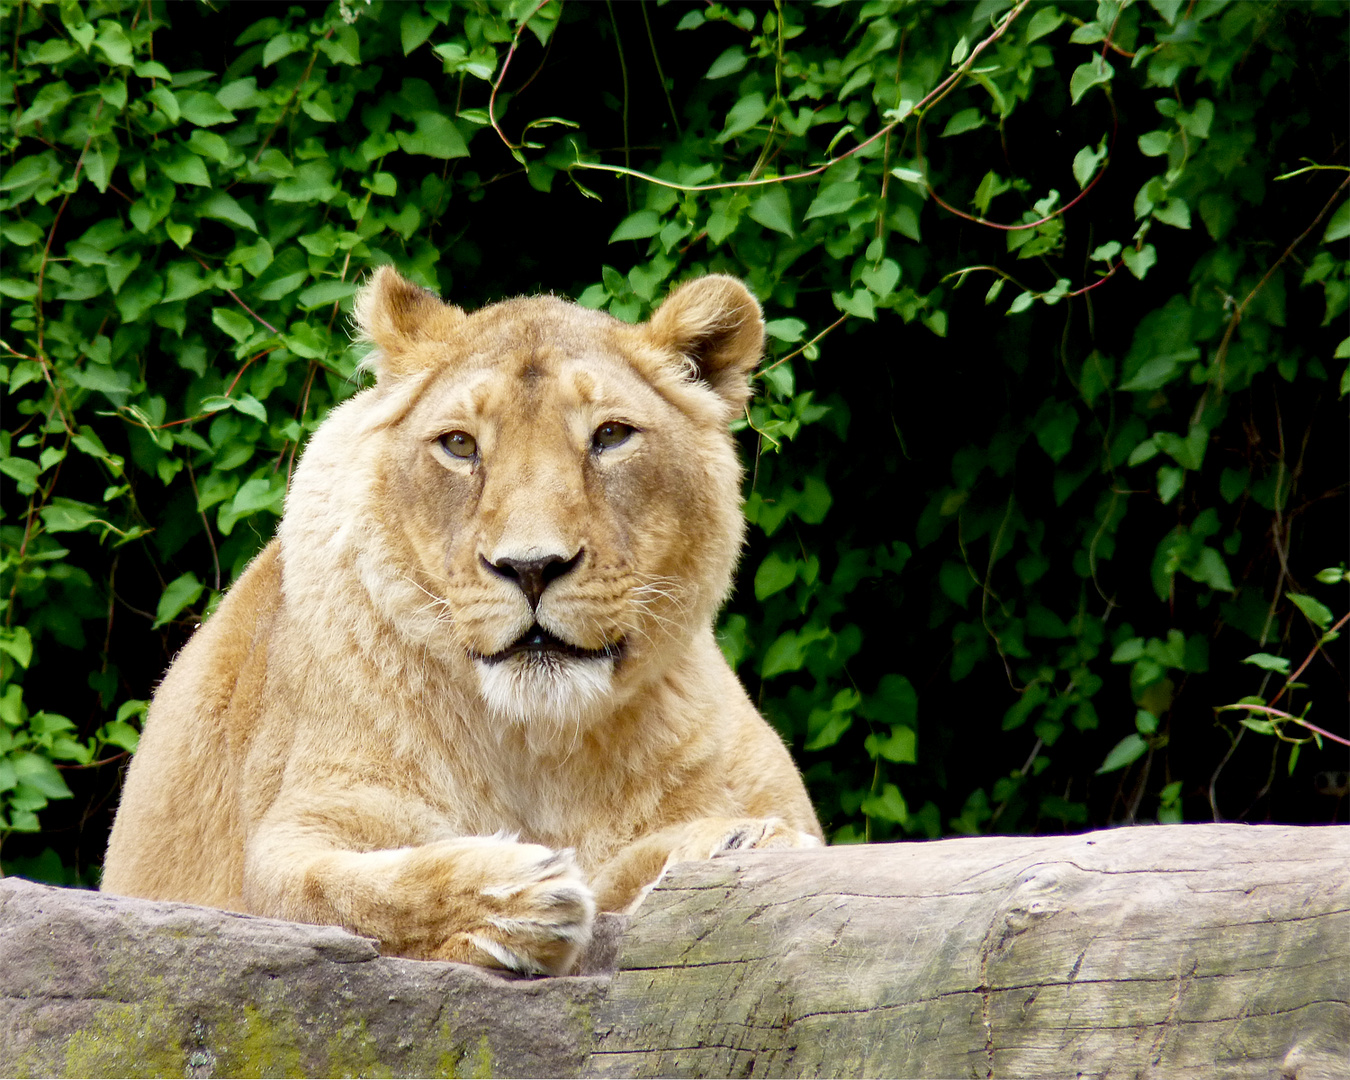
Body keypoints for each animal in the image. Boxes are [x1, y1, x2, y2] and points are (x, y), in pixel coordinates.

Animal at [99, 265, 815, 972]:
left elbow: (657, 863)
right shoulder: (294, 837)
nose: (531, 567)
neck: (540, 749)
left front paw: (740, 839)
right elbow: (342, 893)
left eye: (610, 436)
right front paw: (520, 898)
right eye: (460, 445)